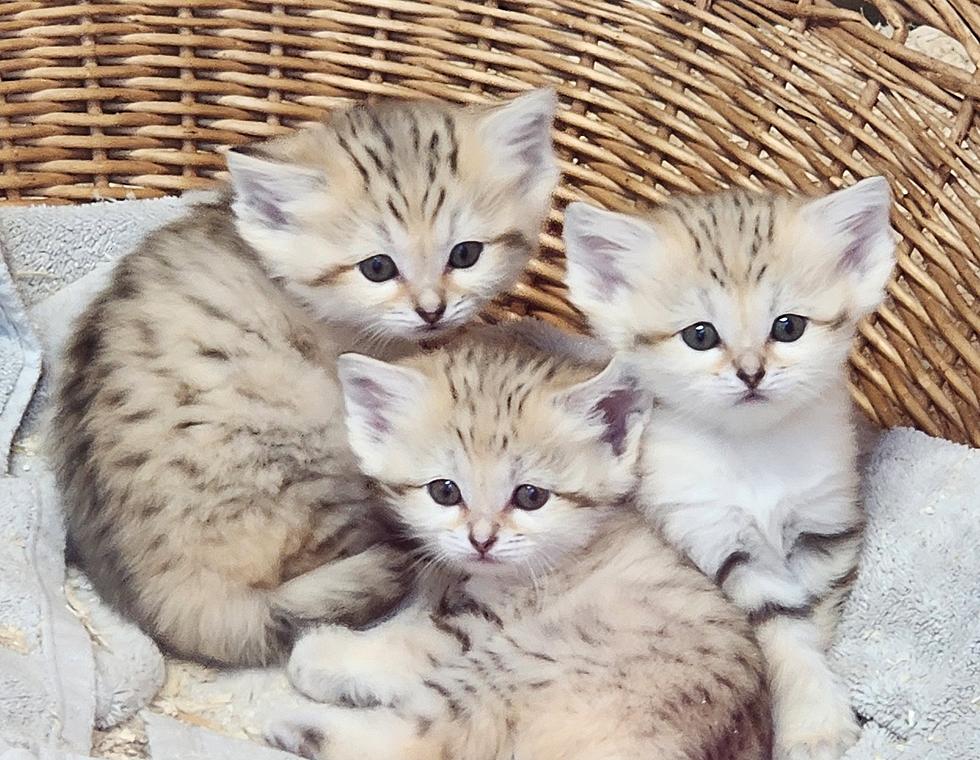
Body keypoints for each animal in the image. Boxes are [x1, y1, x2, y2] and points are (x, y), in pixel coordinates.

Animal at [268, 334, 772, 760]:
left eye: (530, 496)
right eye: (444, 492)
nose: (481, 540)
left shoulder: (480, 624)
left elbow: (414, 639)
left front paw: (331, 655)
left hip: (518, 662)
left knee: (420, 740)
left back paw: (297, 723)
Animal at [560, 180, 896, 760]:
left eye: (788, 327)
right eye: (700, 335)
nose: (751, 372)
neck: (751, 449)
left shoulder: (823, 531)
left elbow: (814, 622)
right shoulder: (714, 538)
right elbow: (782, 633)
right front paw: (815, 724)